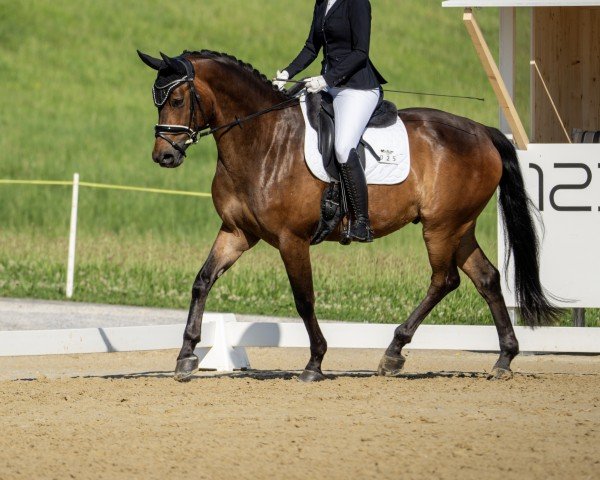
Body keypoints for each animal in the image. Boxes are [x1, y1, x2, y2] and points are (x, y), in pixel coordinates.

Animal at [136, 49, 556, 382]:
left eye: (177, 98)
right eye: (158, 100)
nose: (164, 156)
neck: (262, 139)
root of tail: (482, 131)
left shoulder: (292, 239)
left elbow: (303, 298)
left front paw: (315, 363)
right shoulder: (236, 232)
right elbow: (202, 281)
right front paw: (186, 356)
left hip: (441, 226)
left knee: (444, 279)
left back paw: (393, 354)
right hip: (460, 226)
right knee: (485, 278)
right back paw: (503, 359)